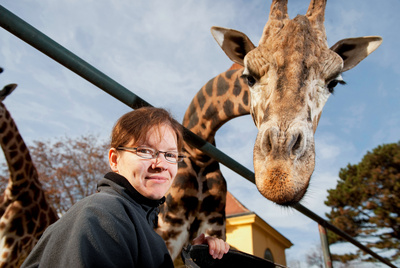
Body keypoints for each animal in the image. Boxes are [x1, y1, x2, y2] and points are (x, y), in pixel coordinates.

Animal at [156, 0, 382, 260]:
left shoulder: (214, 225)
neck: (199, 156)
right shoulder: (169, 226)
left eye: (334, 83)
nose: (279, 176)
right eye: (249, 77)